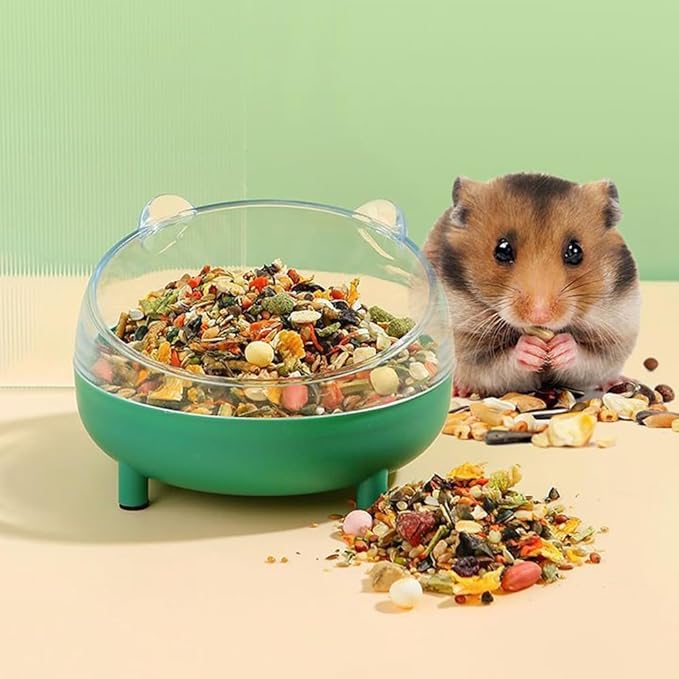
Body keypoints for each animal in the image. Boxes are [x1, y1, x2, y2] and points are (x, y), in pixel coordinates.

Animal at [423, 172, 641, 397]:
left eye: (575, 251)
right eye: (502, 250)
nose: (540, 315)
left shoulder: (615, 334)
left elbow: (588, 358)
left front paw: (561, 348)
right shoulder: (469, 346)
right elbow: (500, 362)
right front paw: (531, 349)